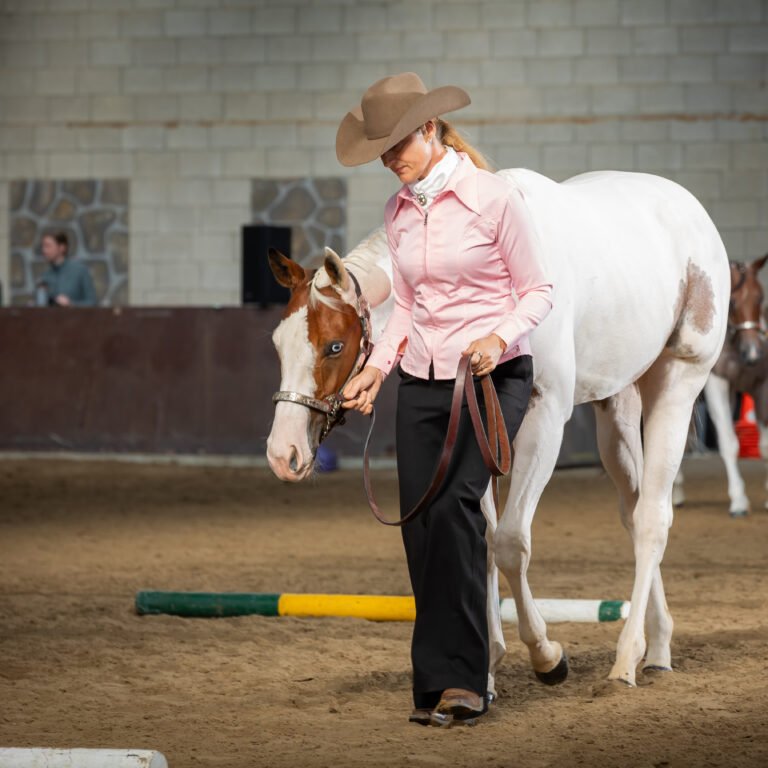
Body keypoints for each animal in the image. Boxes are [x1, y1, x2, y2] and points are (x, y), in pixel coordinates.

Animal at [266, 167, 729, 691]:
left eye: (334, 345)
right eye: (278, 343)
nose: (283, 454)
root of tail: (691, 209)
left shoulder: (545, 417)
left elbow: (510, 542)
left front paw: (546, 655)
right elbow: (482, 540)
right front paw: (484, 667)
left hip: (676, 384)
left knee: (653, 518)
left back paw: (627, 658)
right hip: (616, 406)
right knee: (633, 512)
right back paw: (659, 645)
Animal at [674, 254, 768, 517]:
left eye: (760, 297)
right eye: (733, 303)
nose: (754, 353)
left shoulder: (761, 385)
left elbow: (765, 445)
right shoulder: (718, 385)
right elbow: (729, 443)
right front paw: (739, 500)